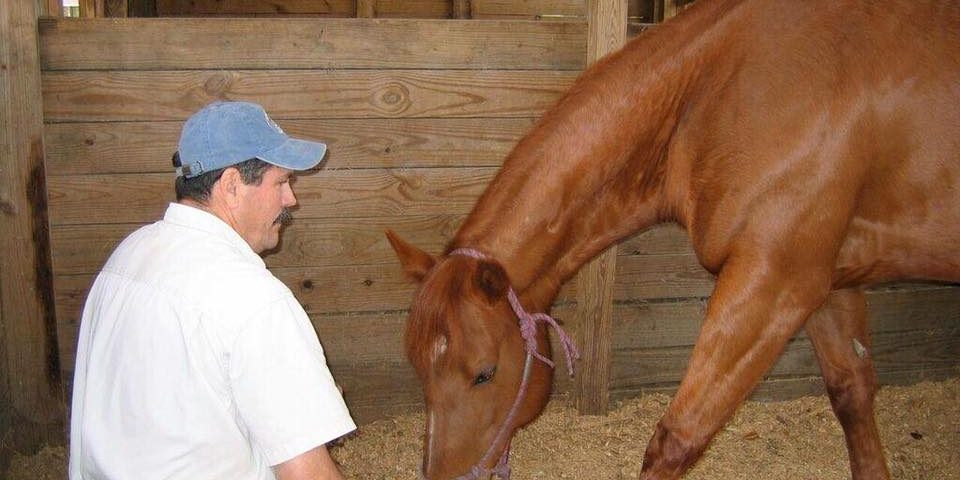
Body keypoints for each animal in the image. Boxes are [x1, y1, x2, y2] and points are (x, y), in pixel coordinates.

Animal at [386, 0, 960, 478]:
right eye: (419, 369)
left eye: (484, 374)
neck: (719, 90)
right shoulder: (828, 283)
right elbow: (852, 393)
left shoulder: (775, 282)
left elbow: (676, 441)